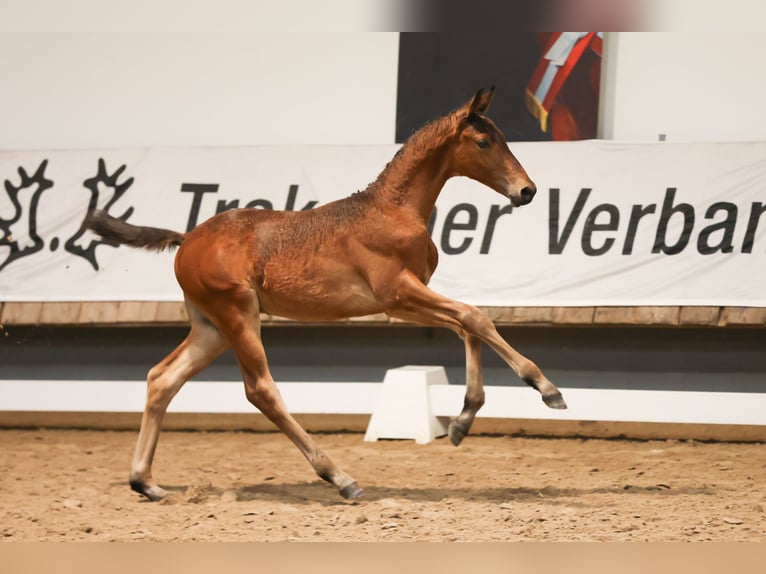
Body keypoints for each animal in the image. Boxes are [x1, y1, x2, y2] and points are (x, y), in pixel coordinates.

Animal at [91, 88, 568, 502]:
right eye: (485, 141)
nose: (527, 190)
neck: (393, 210)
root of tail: (187, 237)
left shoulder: (406, 300)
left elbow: (467, 325)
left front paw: (462, 421)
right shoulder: (398, 294)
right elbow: (476, 316)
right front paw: (546, 388)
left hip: (210, 326)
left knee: (162, 378)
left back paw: (145, 482)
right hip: (237, 314)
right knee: (260, 390)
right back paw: (340, 477)